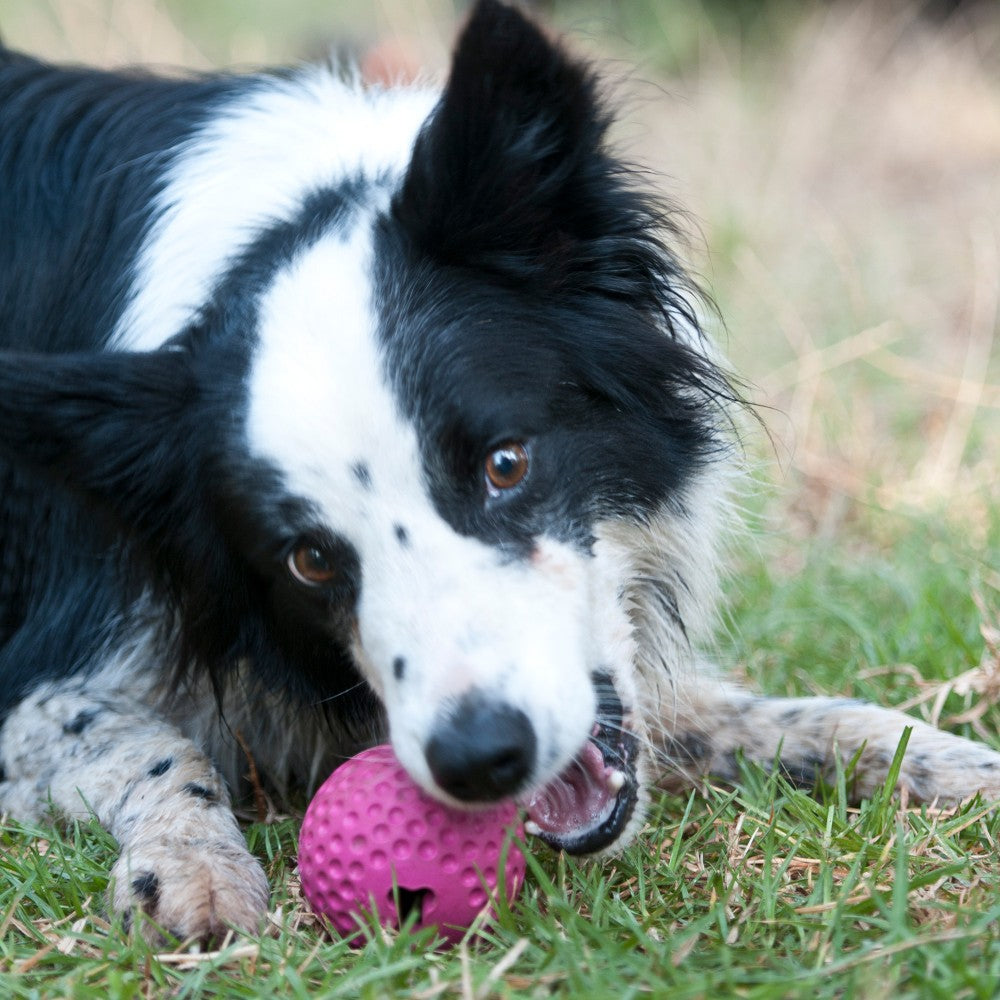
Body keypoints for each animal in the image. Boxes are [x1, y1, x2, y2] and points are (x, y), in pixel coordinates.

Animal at [1, 0, 1000, 940]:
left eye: (505, 464)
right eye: (309, 560)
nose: (480, 759)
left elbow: (759, 713)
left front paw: (941, 759)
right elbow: (159, 750)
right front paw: (191, 868)